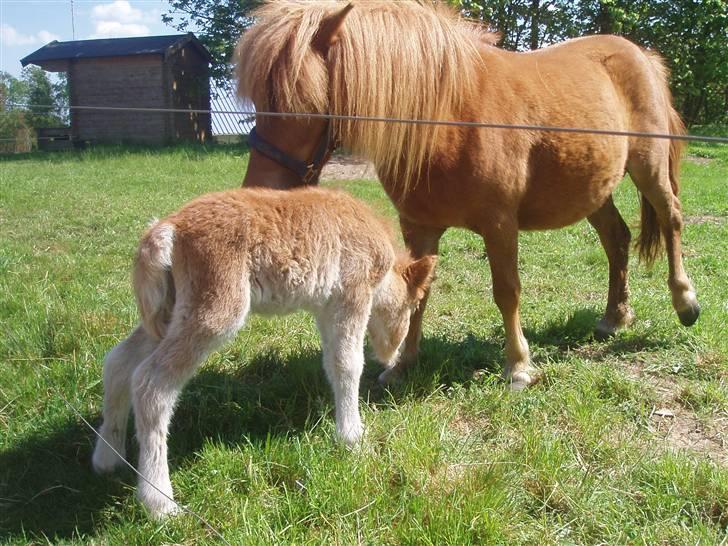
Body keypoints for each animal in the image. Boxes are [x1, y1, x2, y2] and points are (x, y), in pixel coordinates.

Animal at [235, 2, 700, 388]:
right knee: (616, 238)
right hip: (593, 189)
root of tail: (641, 55)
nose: (261, 192)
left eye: (304, 99)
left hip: (649, 168)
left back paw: (685, 301)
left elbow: (507, 291)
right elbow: (417, 290)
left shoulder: (499, 224)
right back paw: (614, 317)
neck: (446, 119)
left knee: (671, 219)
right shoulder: (418, 226)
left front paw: (518, 367)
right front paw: (402, 364)